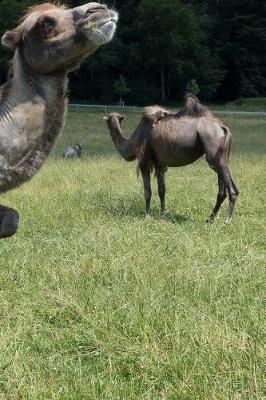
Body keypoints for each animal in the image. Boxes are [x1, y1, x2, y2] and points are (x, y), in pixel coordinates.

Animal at [104, 95, 239, 223]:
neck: (133, 142)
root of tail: (222, 128)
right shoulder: (160, 164)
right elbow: (162, 190)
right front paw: (163, 214)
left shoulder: (144, 161)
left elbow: (147, 191)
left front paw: (147, 215)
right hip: (222, 156)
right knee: (222, 190)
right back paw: (209, 219)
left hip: (213, 152)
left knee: (232, 190)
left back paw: (227, 220)